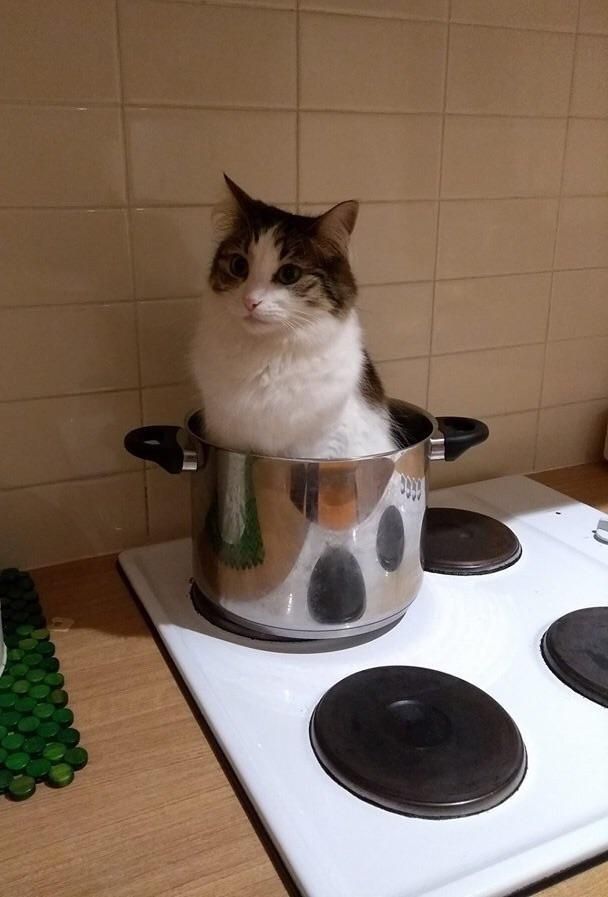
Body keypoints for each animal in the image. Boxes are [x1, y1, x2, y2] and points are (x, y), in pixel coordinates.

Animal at [192, 174, 396, 458]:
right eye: (238, 266)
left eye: (289, 274)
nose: (250, 301)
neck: (265, 357)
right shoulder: (227, 436)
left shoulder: (320, 446)